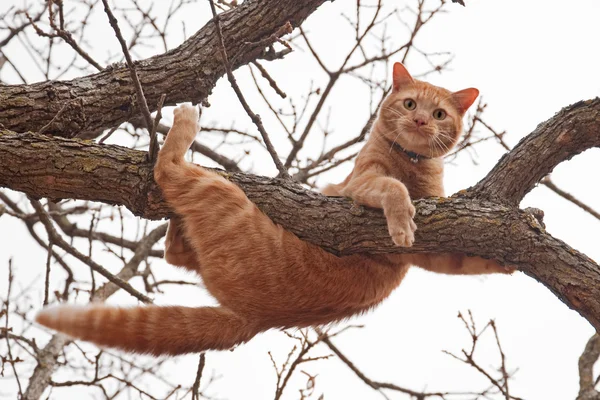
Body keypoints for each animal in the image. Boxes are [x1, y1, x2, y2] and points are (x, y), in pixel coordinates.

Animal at [35, 63, 512, 356]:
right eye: (410, 104)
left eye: (439, 113)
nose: (420, 122)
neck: (411, 163)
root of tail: (256, 320)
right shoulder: (359, 183)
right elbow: (394, 189)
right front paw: (402, 221)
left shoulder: (433, 233)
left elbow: (458, 258)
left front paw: (501, 261)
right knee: (172, 215)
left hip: (218, 198)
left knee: (171, 207)